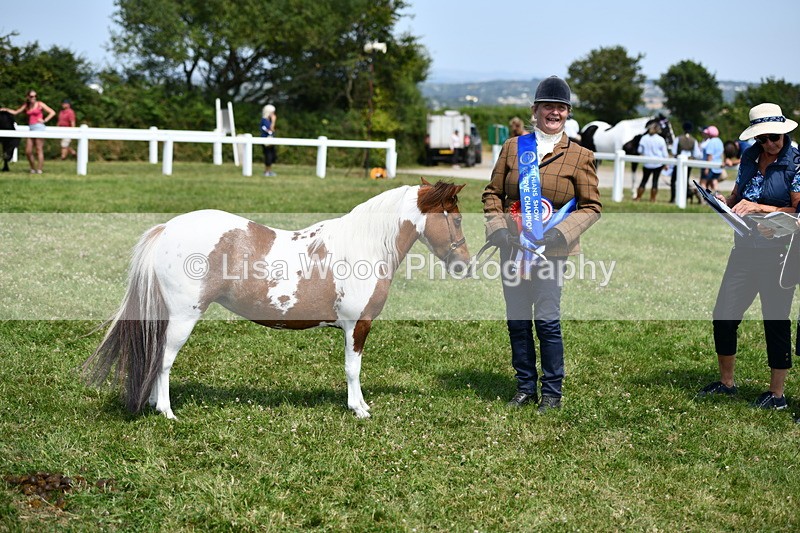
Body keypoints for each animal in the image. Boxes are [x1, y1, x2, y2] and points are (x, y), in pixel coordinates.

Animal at [83, 179, 471, 420]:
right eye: (455, 218)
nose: (465, 265)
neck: (364, 246)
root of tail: (167, 229)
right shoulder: (356, 326)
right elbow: (352, 368)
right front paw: (358, 410)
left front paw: (360, 405)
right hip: (183, 317)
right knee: (163, 360)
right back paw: (166, 411)